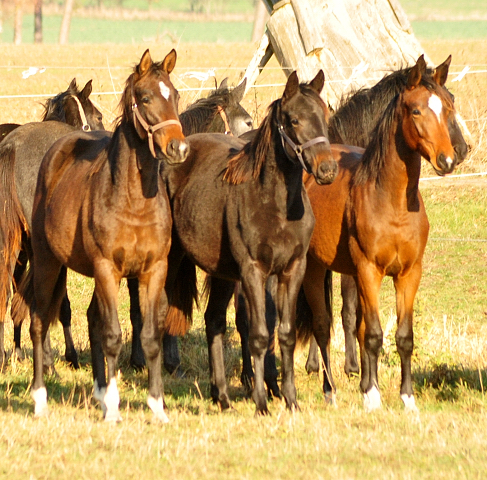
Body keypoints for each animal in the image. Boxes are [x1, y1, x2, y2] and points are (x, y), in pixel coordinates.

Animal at [18, 48, 189, 420]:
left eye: (176, 95)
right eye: (145, 97)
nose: (179, 149)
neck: (133, 201)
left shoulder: (154, 270)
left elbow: (150, 336)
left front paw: (157, 407)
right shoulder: (108, 269)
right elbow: (112, 335)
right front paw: (113, 408)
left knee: (91, 318)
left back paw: (96, 390)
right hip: (48, 263)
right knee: (39, 322)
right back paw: (40, 399)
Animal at [166, 70, 338, 412]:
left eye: (324, 116)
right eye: (294, 119)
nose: (327, 169)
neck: (275, 204)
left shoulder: (291, 270)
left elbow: (284, 333)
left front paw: (290, 400)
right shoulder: (253, 271)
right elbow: (258, 333)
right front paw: (261, 401)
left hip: (220, 273)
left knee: (214, 320)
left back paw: (221, 396)